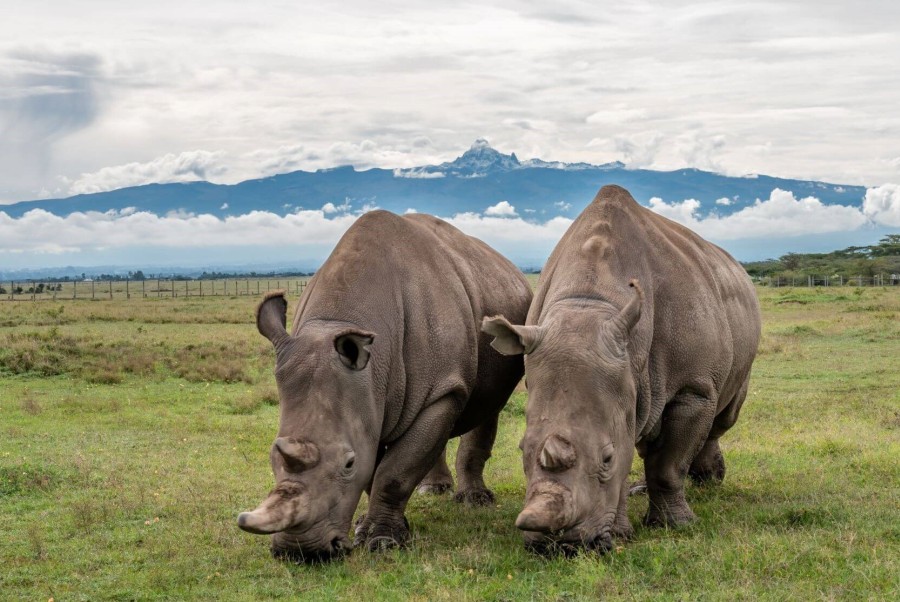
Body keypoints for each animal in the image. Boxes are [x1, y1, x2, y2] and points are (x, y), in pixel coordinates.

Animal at [239, 209, 536, 560]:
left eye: (348, 463)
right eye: (272, 456)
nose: (300, 552)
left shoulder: (439, 389)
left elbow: (393, 471)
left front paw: (384, 542)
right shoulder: (368, 395)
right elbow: (378, 465)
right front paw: (365, 528)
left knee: (487, 407)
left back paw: (475, 502)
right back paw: (432, 490)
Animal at [486, 184, 760, 552]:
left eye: (607, 458)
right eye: (521, 451)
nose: (558, 545)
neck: (589, 303)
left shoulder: (693, 388)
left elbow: (668, 465)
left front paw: (675, 525)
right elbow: (635, 444)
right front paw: (619, 533)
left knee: (723, 417)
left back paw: (708, 481)